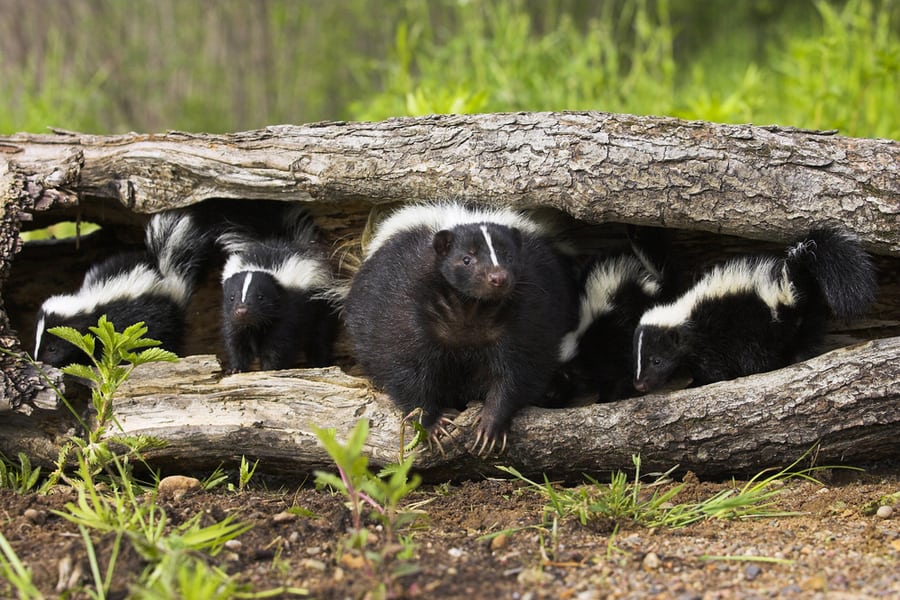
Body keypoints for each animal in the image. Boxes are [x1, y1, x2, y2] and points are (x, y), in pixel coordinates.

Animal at [34, 209, 212, 368]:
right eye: (36, 342)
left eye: (52, 348)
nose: (39, 362)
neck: (88, 304)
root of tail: (165, 272)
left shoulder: (110, 326)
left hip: (162, 319)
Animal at [220, 207, 340, 376]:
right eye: (231, 297)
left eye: (260, 297)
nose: (242, 310)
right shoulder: (232, 319)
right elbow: (237, 342)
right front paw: (235, 368)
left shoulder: (288, 312)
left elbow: (278, 345)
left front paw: (270, 369)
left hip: (322, 307)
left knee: (320, 337)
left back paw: (318, 363)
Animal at [344, 202, 576, 454]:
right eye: (466, 260)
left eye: (509, 256)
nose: (498, 278)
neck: (471, 307)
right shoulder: (404, 306)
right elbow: (405, 365)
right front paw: (433, 425)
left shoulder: (530, 311)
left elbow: (519, 369)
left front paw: (490, 425)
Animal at [628, 226, 876, 394]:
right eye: (636, 359)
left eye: (657, 361)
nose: (639, 384)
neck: (684, 312)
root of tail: (789, 289)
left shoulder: (712, 337)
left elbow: (712, 368)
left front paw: (696, 383)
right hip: (807, 318)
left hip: (759, 329)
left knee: (760, 356)